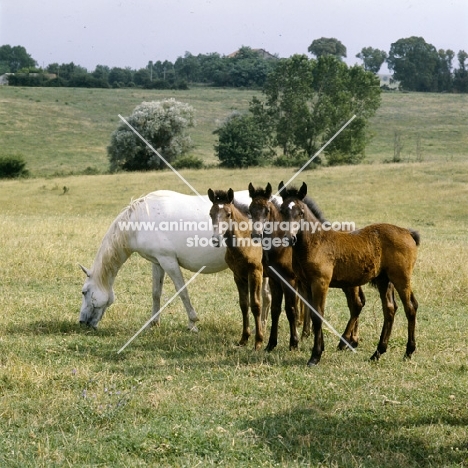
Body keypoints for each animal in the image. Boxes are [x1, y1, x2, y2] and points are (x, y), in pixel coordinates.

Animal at [79, 188, 270, 330]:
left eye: (84, 292)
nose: (82, 322)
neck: (140, 222)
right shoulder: (157, 262)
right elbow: (156, 292)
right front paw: (153, 322)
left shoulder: (168, 261)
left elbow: (182, 291)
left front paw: (192, 322)